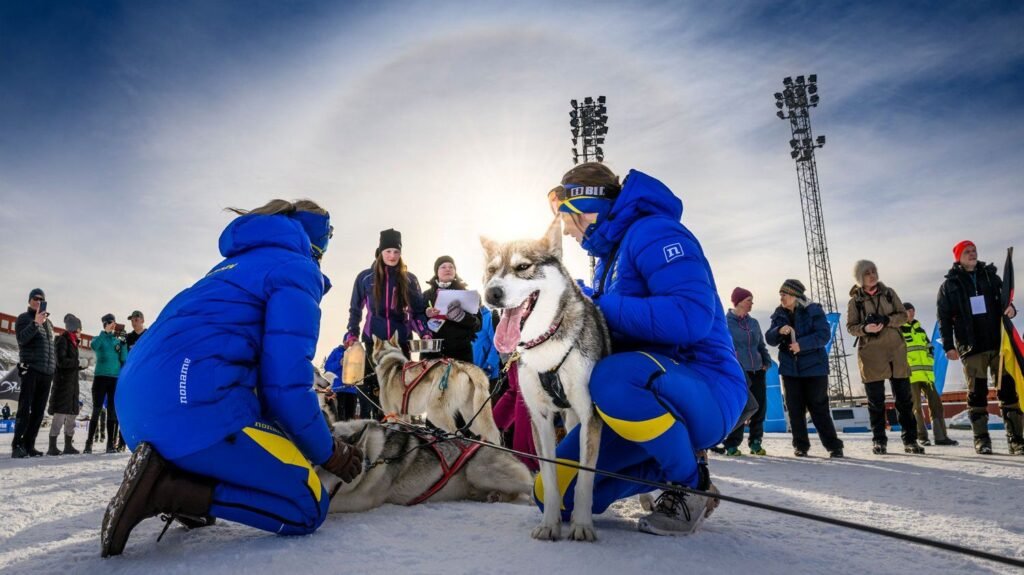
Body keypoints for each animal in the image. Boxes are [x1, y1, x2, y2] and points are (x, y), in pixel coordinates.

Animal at [315, 415, 532, 509]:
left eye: (330, 468)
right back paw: (495, 496)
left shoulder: (362, 499)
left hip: (479, 471)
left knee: (529, 486)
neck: (373, 455)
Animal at [374, 333, 505, 446]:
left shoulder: (392, 416)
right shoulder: (405, 417)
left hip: (435, 413)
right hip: (473, 418)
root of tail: (459, 365)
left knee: (457, 435)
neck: (389, 359)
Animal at [477, 216, 610, 540]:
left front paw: (582, 525)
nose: (491, 293)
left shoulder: (590, 416)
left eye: (523, 266)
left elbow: (586, 479)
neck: (546, 344)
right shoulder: (540, 418)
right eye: (491, 270)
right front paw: (550, 524)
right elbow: (548, 479)